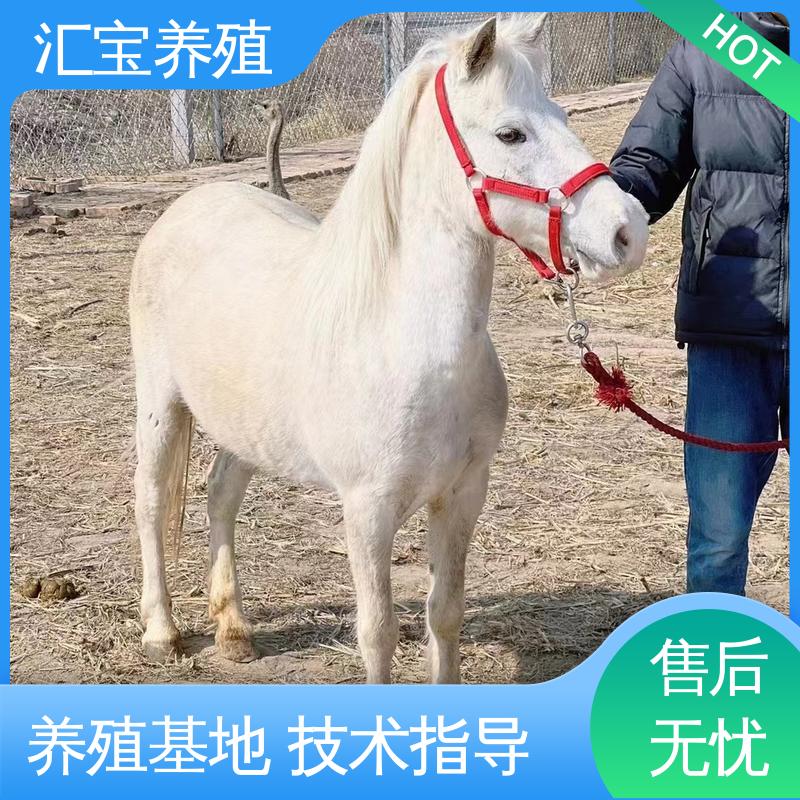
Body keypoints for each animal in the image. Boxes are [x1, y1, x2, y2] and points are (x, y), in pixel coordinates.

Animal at [129, 14, 649, 683]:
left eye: (561, 113)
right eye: (511, 133)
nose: (627, 232)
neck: (407, 346)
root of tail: (190, 204)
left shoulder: (463, 495)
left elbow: (444, 614)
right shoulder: (367, 511)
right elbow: (377, 633)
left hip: (244, 427)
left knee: (221, 494)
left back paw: (234, 631)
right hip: (160, 407)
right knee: (149, 501)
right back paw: (162, 632)